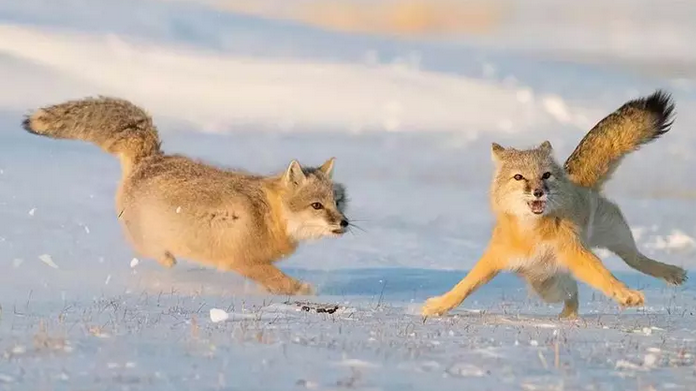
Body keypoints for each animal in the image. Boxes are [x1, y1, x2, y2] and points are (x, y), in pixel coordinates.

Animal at [22, 96, 350, 296]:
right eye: (317, 205)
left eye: (337, 203)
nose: (345, 223)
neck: (267, 214)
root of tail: (151, 158)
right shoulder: (243, 261)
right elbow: (280, 282)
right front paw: (305, 290)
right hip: (149, 235)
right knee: (148, 249)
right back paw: (168, 260)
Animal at [422, 90, 688, 320]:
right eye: (519, 177)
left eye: (546, 175)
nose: (539, 192)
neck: (532, 236)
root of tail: (574, 177)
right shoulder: (497, 257)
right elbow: (465, 286)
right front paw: (437, 306)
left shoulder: (574, 252)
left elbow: (605, 277)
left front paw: (626, 294)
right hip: (547, 284)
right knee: (573, 292)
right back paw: (567, 317)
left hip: (614, 238)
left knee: (636, 259)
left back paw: (671, 273)